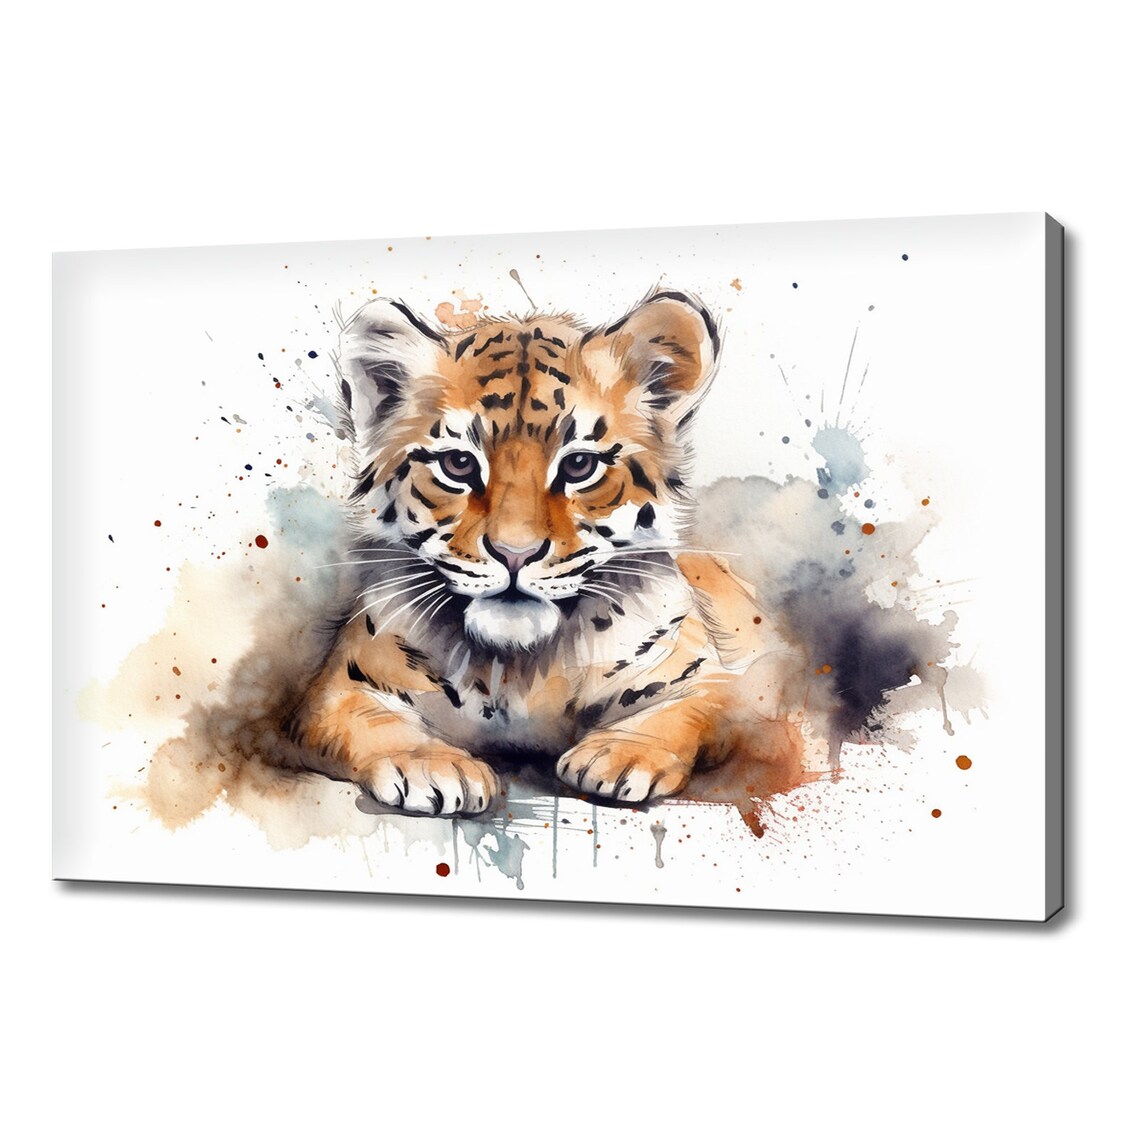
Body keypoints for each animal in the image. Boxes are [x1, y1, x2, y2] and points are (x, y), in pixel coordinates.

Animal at [287, 288, 796, 816]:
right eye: (458, 463)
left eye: (579, 465)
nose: (515, 553)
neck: (518, 669)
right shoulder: (340, 689)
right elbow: (373, 721)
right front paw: (432, 767)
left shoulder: (721, 683)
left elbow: (682, 709)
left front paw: (619, 755)